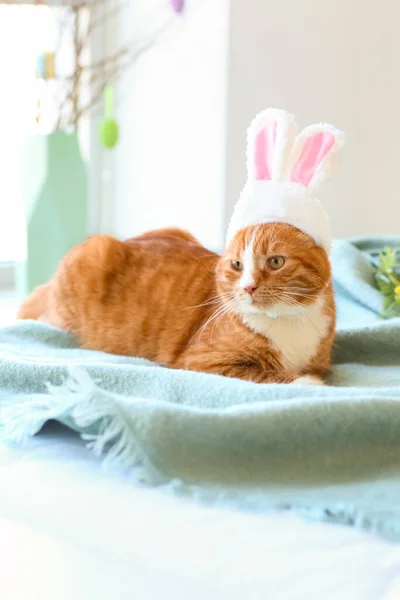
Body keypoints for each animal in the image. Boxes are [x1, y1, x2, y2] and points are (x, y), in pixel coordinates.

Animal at [18, 223, 334, 386]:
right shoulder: (202, 361)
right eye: (237, 265)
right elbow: (270, 374)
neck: (287, 320)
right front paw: (308, 383)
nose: (248, 287)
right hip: (91, 259)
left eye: (276, 262)